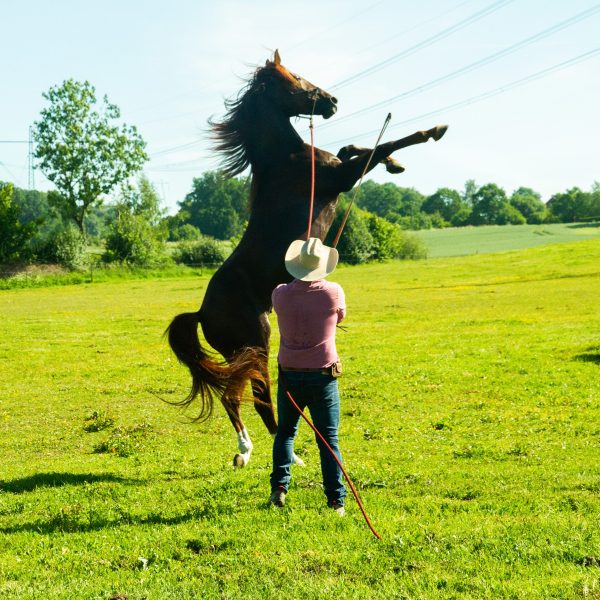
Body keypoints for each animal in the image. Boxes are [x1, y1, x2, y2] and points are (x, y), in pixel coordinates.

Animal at [166, 50, 448, 468]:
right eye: (295, 78)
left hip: (243, 352)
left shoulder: (342, 170)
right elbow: (382, 145)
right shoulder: (342, 179)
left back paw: (247, 452)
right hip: (255, 345)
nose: (332, 101)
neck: (288, 158)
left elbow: (358, 149)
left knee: (237, 398)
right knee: (250, 398)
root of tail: (202, 312)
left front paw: (395, 163)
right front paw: (433, 130)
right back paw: (281, 456)